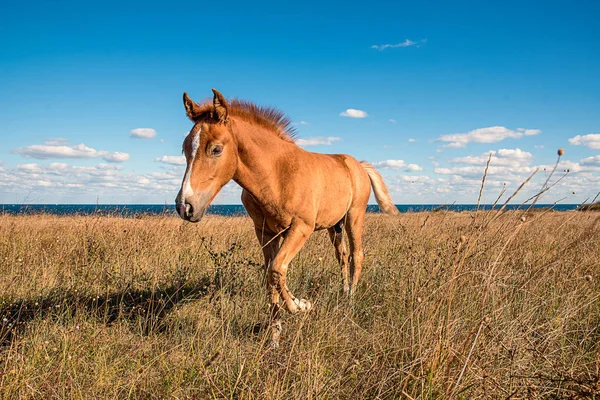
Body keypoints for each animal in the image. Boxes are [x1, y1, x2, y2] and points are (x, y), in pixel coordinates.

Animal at [175, 89, 398, 346]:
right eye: (184, 149)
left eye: (216, 149)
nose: (185, 206)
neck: (277, 174)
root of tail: (358, 165)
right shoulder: (265, 232)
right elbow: (270, 275)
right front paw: (274, 336)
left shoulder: (301, 227)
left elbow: (277, 269)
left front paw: (302, 305)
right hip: (334, 225)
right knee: (342, 257)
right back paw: (342, 293)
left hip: (354, 216)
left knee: (357, 255)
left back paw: (350, 298)